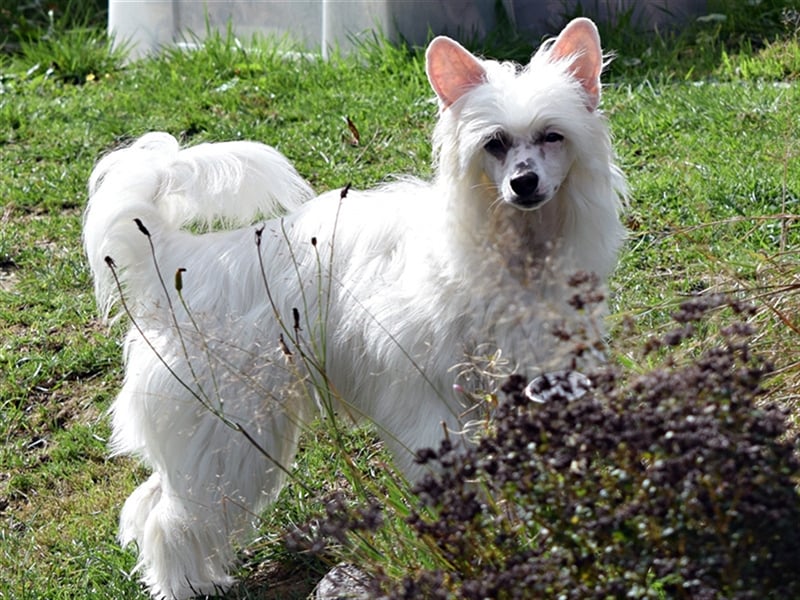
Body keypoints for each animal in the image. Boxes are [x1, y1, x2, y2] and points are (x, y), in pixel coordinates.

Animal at [84, 16, 628, 596]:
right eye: (495, 143)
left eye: (553, 136)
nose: (524, 183)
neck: (516, 250)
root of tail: (178, 257)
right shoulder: (429, 401)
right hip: (225, 437)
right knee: (172, 519)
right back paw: (185, 584)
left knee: (151, 505)